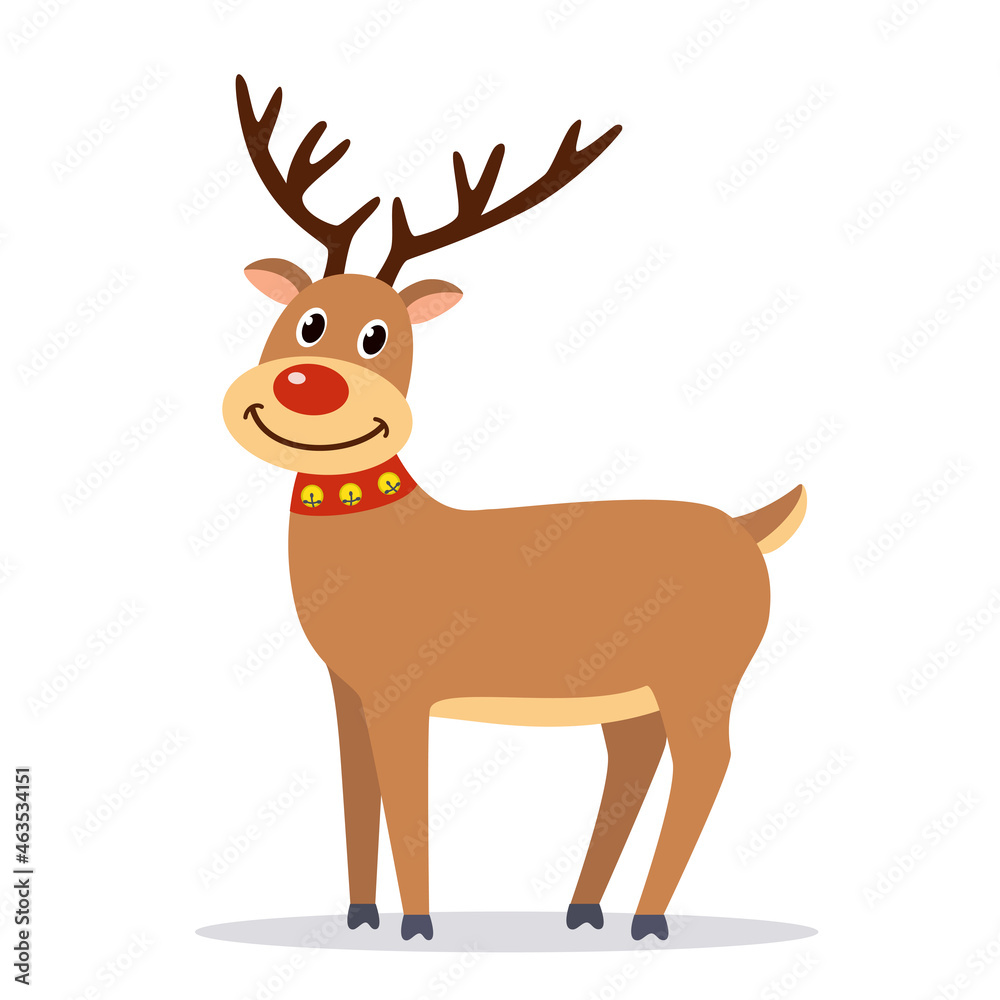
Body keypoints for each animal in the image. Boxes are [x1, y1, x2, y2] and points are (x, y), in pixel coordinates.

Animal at [223, 75, 807, 943]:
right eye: (307, 320)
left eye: (378, 335)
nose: (307, 386)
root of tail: (749, 529)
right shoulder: (345, 688)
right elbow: (357, 794)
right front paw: (360, 914)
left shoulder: (406, 688)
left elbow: (409, 800)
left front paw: (419, 926)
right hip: (632, 693)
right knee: (635, 765)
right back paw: (584, 910)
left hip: (704, 677)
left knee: (709, 768)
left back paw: (648, 920)